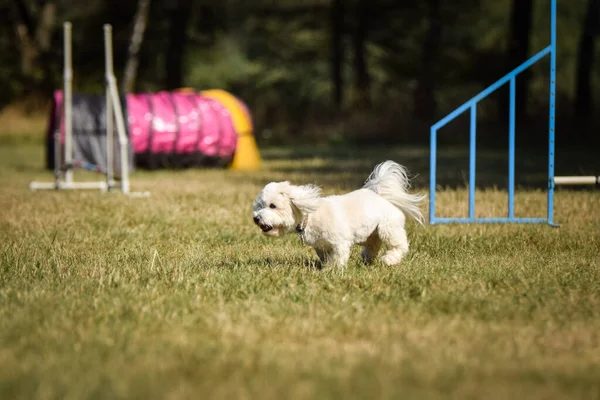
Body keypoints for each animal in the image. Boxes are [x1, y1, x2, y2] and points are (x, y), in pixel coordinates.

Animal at [253, 160, 426, 268]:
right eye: (259, 206)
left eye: (273, 206)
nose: (256, 218)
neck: (310, 216)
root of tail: (382, 196)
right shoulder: (321, 246)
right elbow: (325, 255)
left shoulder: (339, 242)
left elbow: (337, 257)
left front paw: (331, 270)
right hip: (368, 232)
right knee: (373, 244)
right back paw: (368, 259)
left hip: (388, 228)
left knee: (399, 245)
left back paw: (389, 260)